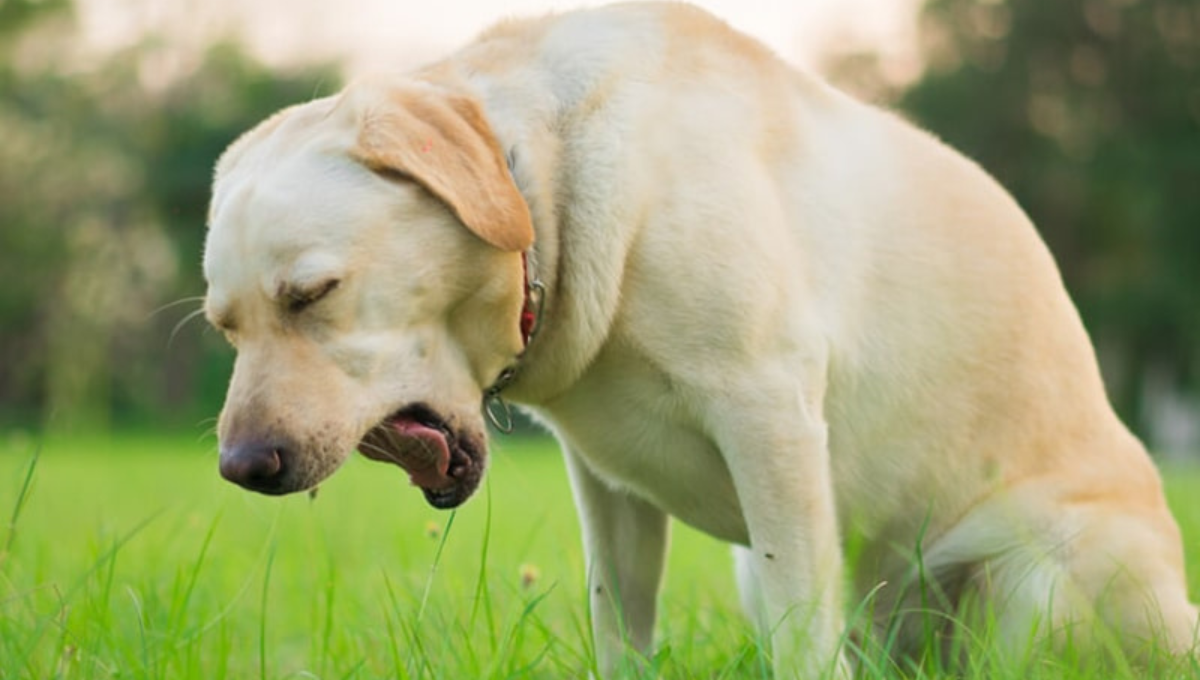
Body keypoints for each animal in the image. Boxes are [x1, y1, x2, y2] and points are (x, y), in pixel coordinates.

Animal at [204, 3, 1190, 676]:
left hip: (1044, 577)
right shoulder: (603, 486)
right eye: (225, 326)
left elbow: (802, 641)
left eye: (313, 294)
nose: (244, 468)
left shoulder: (771, 420)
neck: (551, 192)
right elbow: (621, 624)